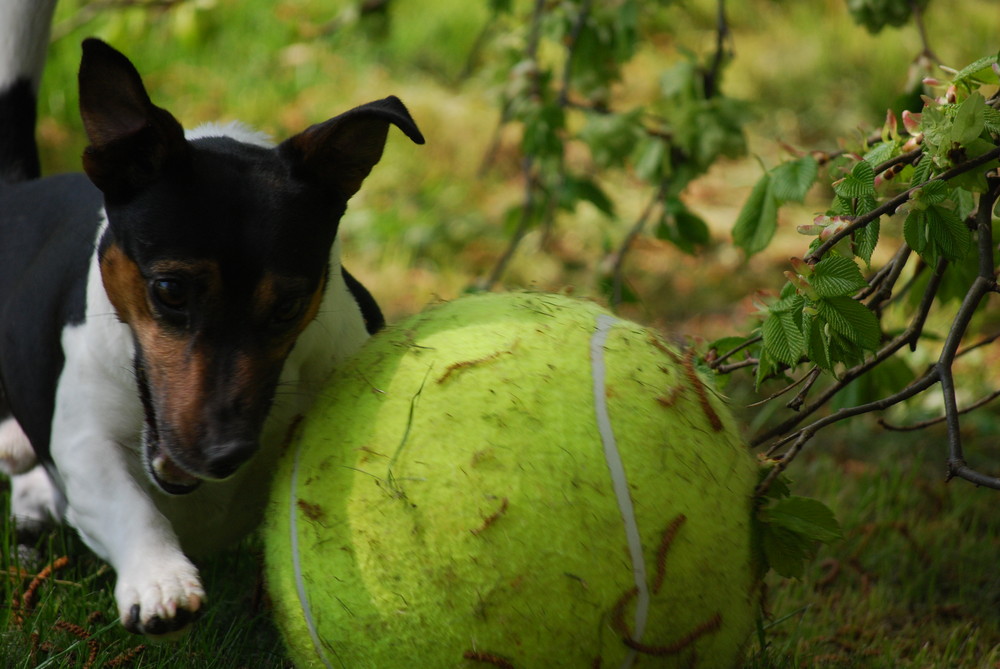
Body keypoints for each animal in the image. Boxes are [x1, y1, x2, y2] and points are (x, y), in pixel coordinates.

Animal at [0, 2, 422, 636]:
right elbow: (124, 501)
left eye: (288, 306)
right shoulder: (83, 438)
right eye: (170, 290)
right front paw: (160, 580)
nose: (225, 452)